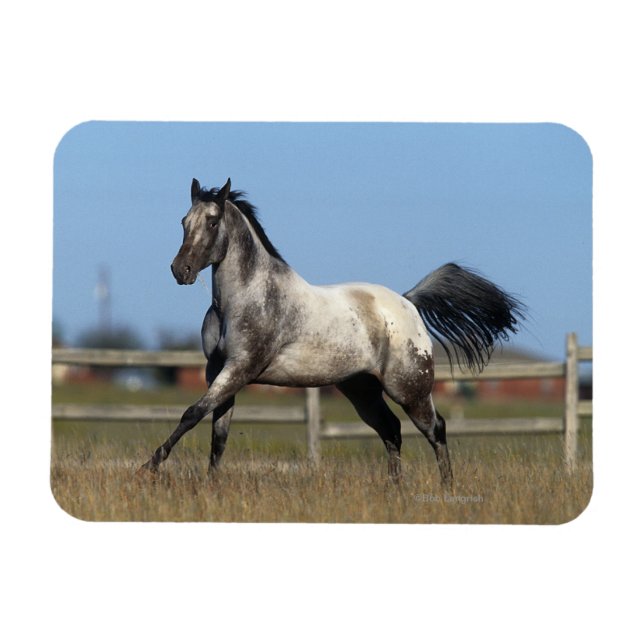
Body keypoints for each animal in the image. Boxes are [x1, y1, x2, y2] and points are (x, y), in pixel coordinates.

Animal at [139, 178, 524, 488]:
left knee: (435, 429)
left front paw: (148, 468)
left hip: (409, 389)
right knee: (391, 430)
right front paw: (211, 485)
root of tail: (408, 302)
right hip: (361, 390)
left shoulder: (240, 369)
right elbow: (217, 434)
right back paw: (394, 489)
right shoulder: (218, 371)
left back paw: (447, 489)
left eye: (213, 221)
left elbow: (192, 414)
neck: (243, 299)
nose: (180, 270)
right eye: (184, 221)